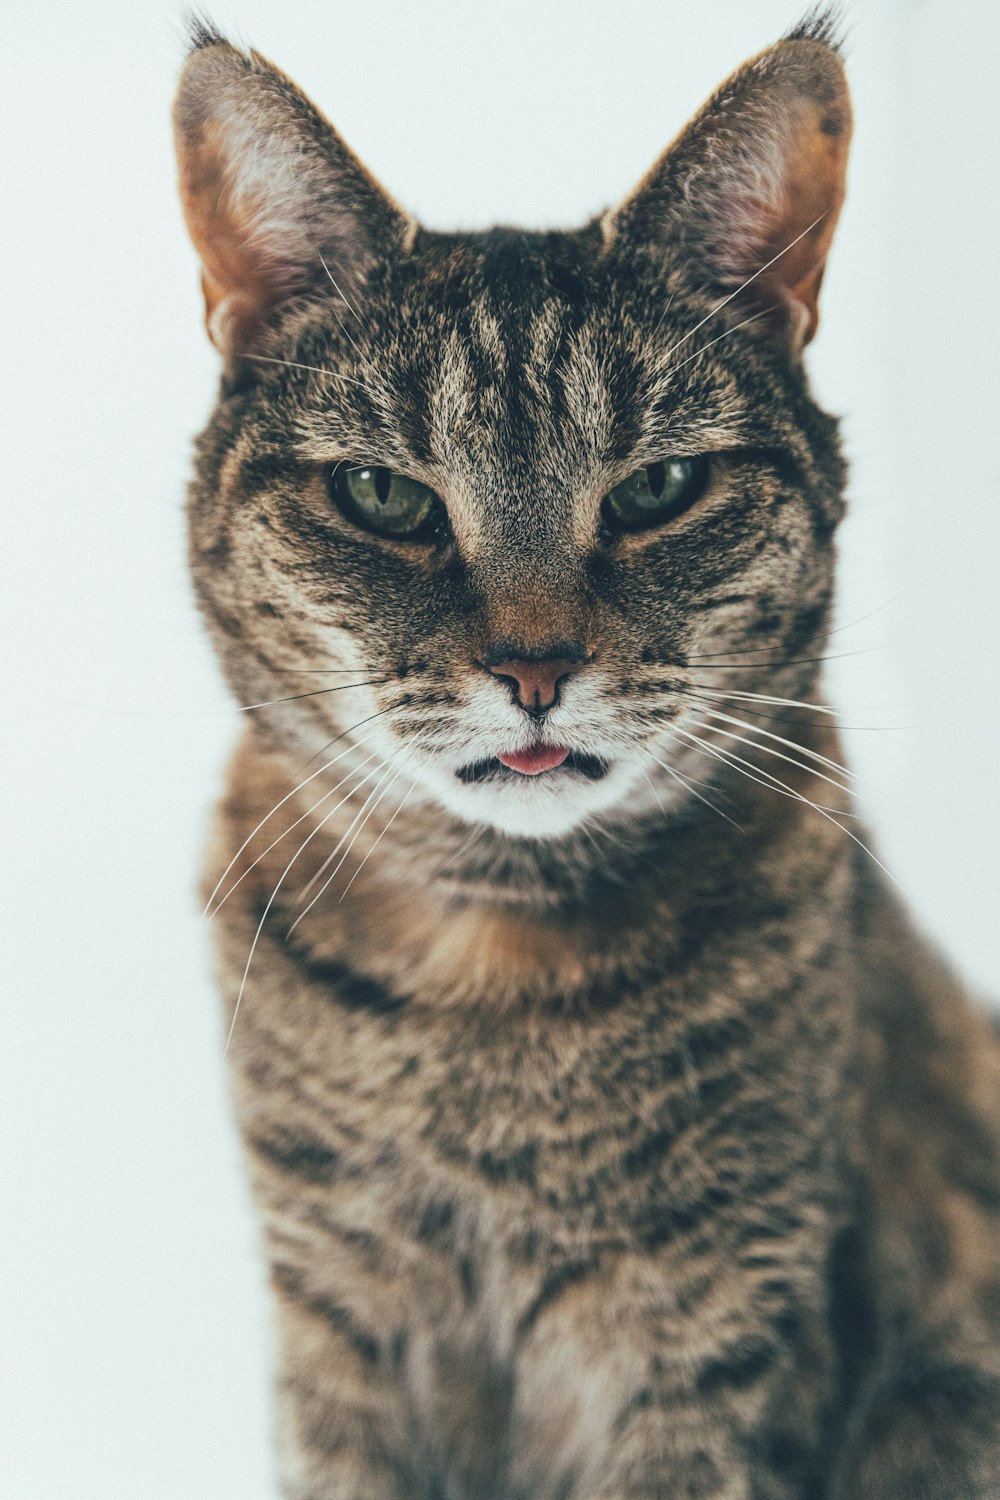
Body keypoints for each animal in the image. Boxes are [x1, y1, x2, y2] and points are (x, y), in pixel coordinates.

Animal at [172, 11, 1000, 1500]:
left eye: (659, 488)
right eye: (385, 497)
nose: (535, 669)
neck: (488, 981)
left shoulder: (714, 1340)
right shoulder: (336, 1325)